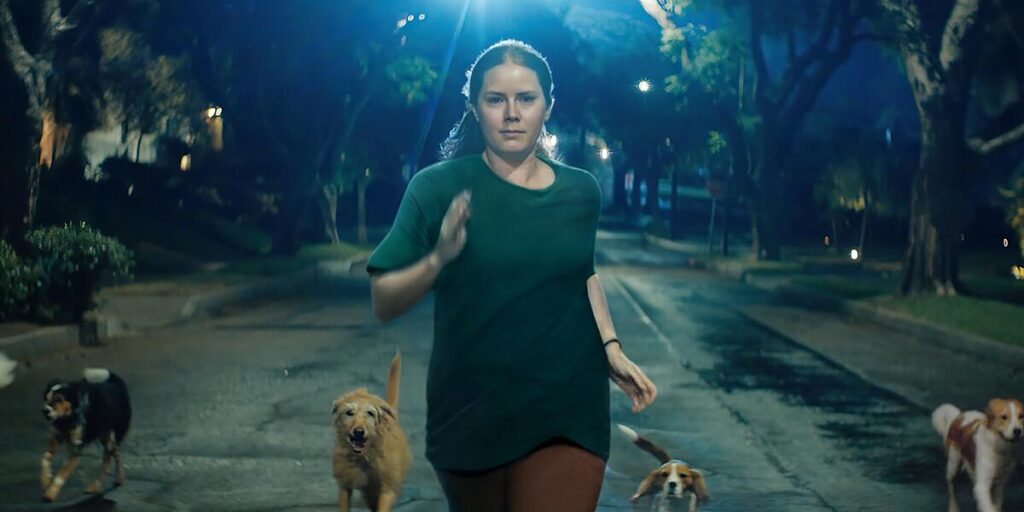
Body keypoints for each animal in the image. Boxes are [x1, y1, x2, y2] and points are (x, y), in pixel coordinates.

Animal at [41, 368, 131, 503]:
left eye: (58, 399)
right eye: (46, 398)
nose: (45, 411)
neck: (66, 420)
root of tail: (116, 381)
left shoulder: (75, 450)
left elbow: (61, 473)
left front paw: (51, 493)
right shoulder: (55, 440)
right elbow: (45, 458)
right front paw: (45, 479)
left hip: (111, 438)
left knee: (108, 460)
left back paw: (97, 485)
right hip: (105, 436)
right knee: (115, 454)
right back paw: (116, 479)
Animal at [327, 350, 407, 509]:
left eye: (370, 413)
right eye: (349, 412)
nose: (359, 432)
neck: (364, 458)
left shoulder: (386, 488)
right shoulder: (345, 485)